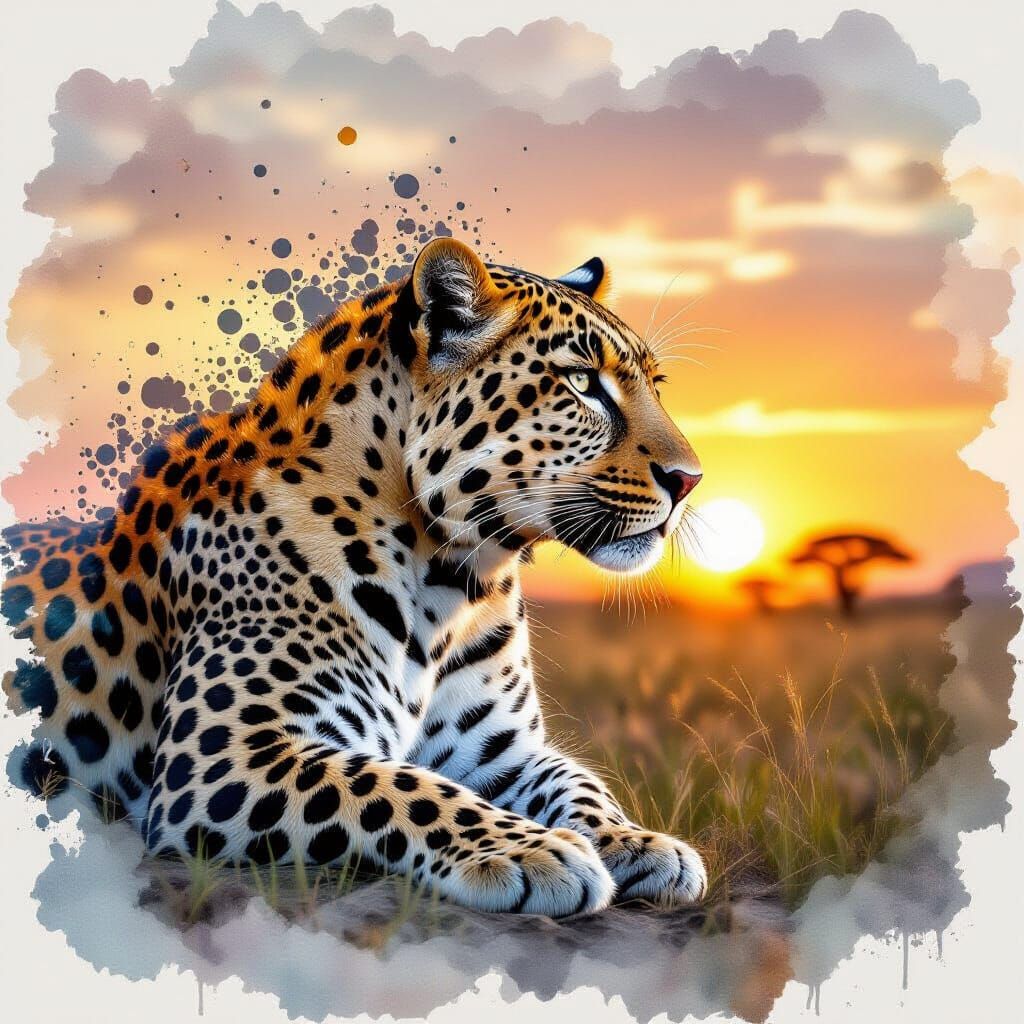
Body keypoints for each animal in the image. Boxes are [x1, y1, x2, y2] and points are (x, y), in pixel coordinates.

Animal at [2, 238, 705, 917]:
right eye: (582, 382)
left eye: (655, 385)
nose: (690, 479)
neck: (455, 579)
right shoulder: (223, 756)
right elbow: (400, 785)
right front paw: (532, 852)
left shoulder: (503, 754)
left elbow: (580, 781)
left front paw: (641, 844)